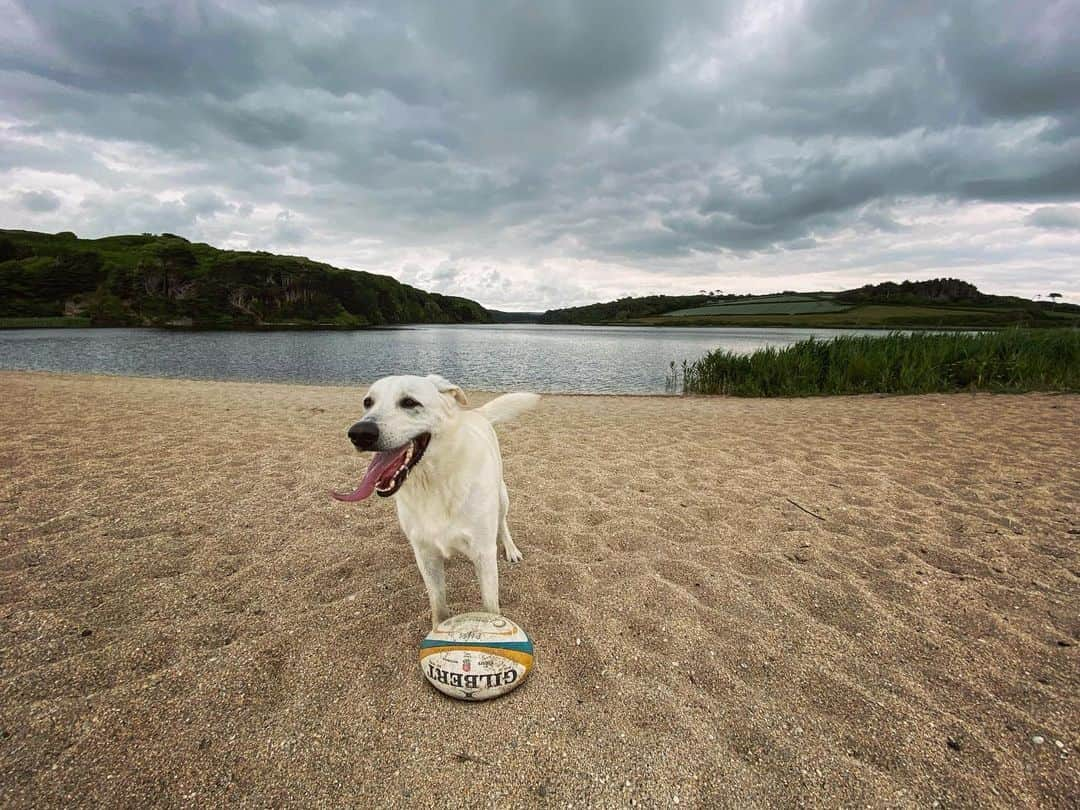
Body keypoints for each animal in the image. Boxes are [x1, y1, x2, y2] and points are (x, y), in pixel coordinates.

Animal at [330, 378, 537, 630]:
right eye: (367, 402)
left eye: (409, 402)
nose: (359, 433)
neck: (434, 485)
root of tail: (475, 413)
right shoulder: (425, 555)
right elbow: (438, 605)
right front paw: (439, 627)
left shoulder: (484, 554)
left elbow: (490, 608)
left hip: (502, 497)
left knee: (502, 523)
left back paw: (511, 548)